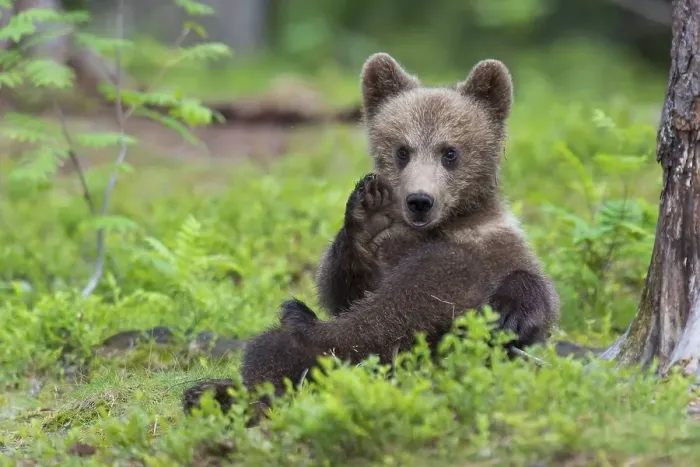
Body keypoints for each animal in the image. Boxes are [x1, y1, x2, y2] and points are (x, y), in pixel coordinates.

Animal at [182, 52, 560, 419]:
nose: (419, 201)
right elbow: (345, 289)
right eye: (402, 150)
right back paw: (211, 392)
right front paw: (367, 214)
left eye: (450, 152)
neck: (443, 227)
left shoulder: (488, 250)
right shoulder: (390, 250)